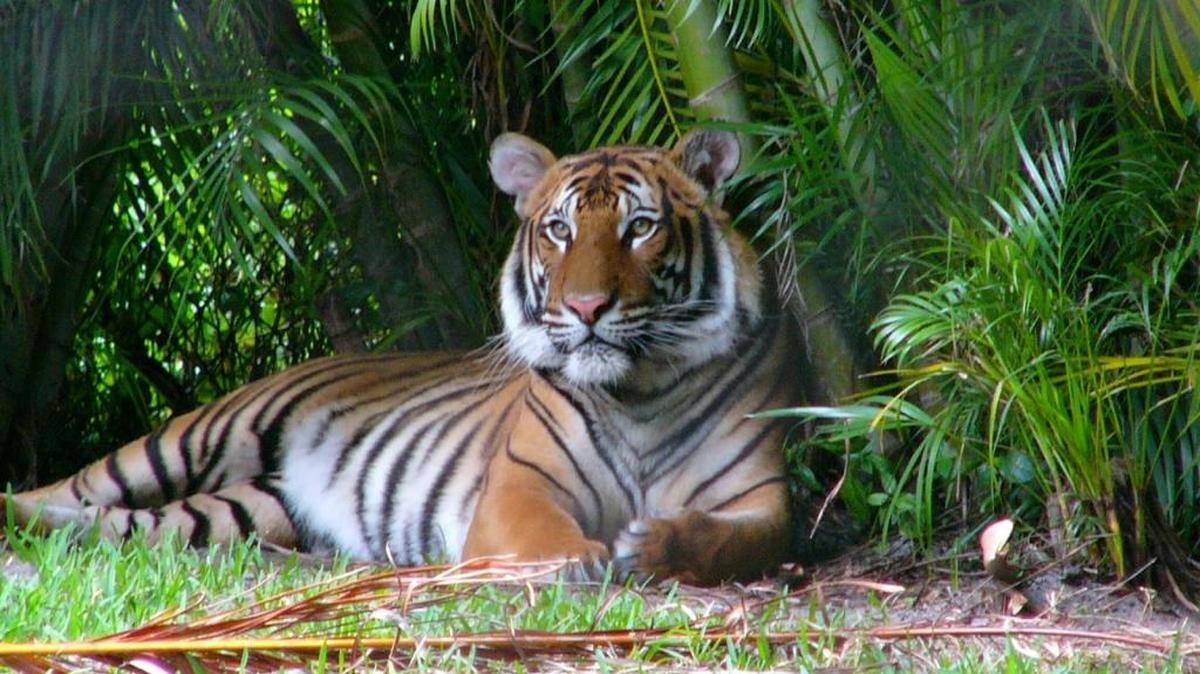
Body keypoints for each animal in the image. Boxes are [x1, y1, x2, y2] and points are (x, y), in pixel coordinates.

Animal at [3, 129, 801, 585]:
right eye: (559, 230)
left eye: (640, 228)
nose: (585, 309)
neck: (638, 392)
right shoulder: (516, 488)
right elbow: (544, 534)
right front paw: (581, 560)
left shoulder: (759, 497)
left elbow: (748, 542)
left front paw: (655, 547)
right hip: (197, 436)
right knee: (67, 488)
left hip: (241, 509)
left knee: (115, 525)